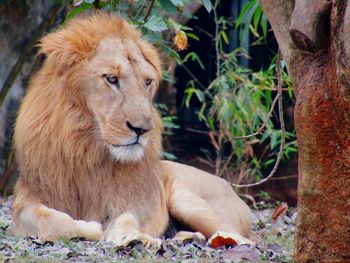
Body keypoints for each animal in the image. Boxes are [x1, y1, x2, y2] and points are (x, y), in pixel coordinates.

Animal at [11, 11, 254, 249]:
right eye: (112, 79)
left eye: (147, 82)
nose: (143, 129)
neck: (87, 148)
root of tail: (230, 186)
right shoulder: (26, 200)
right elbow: (54, 221)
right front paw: (94, 228)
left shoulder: (133, 200)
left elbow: (127, 217)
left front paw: (133, 237)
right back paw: (185, 237)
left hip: (185, 196)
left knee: (244, 238)